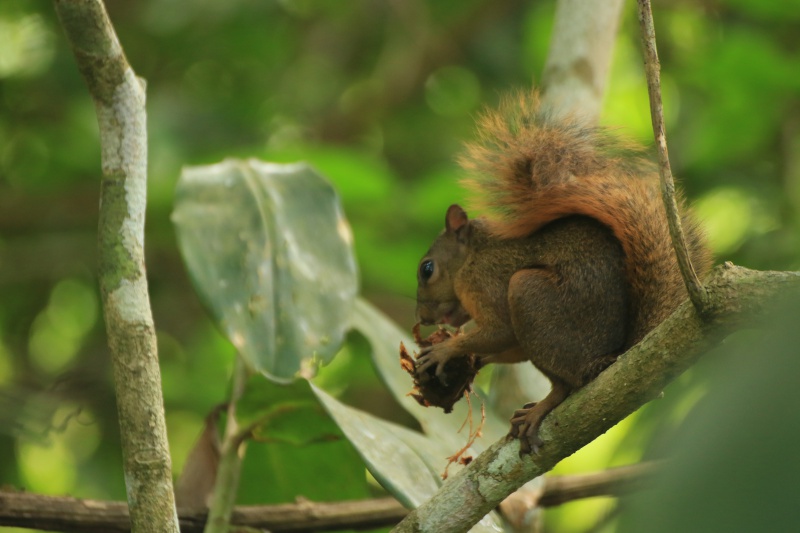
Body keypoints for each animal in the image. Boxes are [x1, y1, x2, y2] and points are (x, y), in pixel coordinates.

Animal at [416, 90, 708, 454]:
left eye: (427, 269)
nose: (422, 317)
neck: (472, 257)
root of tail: (611, 357)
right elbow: (510, 347)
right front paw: (471, 361)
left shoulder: (486, 282)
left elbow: (500, 331)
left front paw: (446, 350)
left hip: (530, 296)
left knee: (567, 384)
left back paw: (541, 407)